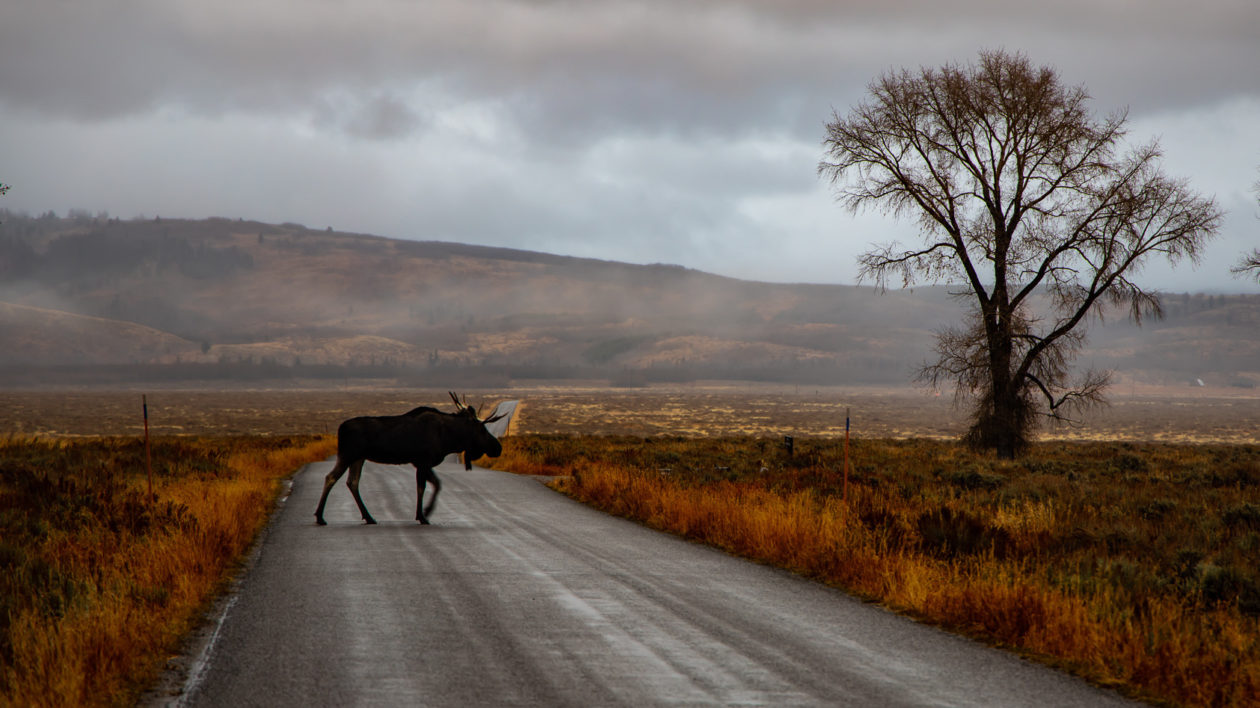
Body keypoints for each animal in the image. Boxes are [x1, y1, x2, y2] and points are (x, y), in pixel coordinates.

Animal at [313, 390, 506, 524]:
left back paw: (369, 517)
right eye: (482, 429)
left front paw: (423, 513)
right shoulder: (423, 461)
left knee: (352, 482)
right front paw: (424, 514)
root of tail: (340, 428)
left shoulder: (420, 463)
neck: (449, 437)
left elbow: (430, 485)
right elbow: (427, 487)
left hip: (359, 458)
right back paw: (320, 517)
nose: (498, 448)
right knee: (331, 477)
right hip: (347, 455)